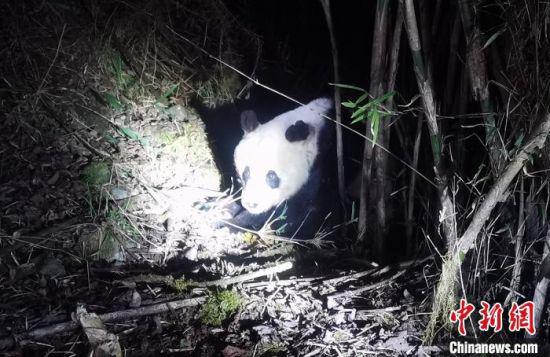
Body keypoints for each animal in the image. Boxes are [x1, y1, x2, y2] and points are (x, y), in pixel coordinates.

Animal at [226, 97, 334, 236]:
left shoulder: (318, 171)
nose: (252, 204)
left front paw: (233, 223)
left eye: (271, 176)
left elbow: (293, 215)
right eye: (246, 173)